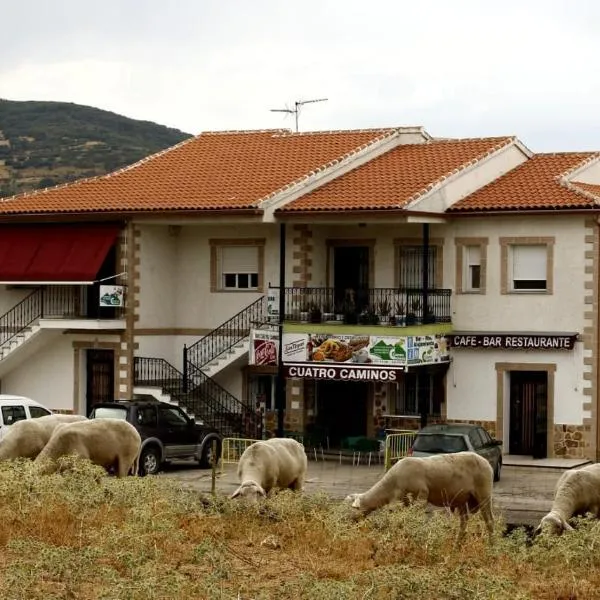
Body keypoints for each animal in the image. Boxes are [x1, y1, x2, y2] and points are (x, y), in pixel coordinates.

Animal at [344, 450, 494, 544]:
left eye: (350, 509)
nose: (342, 523)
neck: (390, 486)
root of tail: (486, 461)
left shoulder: (421, 495)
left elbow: (415, 520)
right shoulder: (403, 502)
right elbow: (402, 521)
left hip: (483, 493)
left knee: (489, 521)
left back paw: (491, 546)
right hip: (462, 498)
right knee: (464, 523)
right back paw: (457, 546)